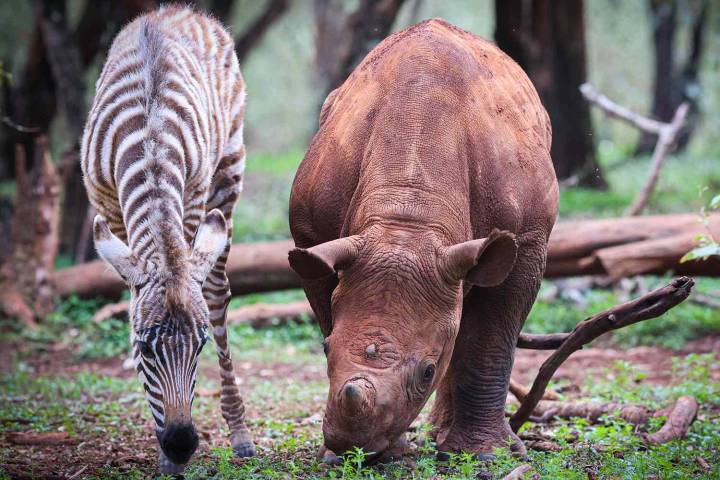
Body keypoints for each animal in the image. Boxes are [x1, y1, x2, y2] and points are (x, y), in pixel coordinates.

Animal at [81, 6, 253, 473]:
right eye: (142, 349)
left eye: (200, 346)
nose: (179, 446)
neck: (150, 142)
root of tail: (177, 11)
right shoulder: (108, 205)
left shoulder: (192, 197)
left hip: (228, 172)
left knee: (217, 293)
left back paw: (240, 434)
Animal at [288, 18, 558, 460]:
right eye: (324, 349)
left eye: (428, 370)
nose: (350, 447)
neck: (409, 220)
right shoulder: (315, 238)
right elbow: (329, 307)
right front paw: (388, 450)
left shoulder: (527, 238)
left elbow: (490, 339)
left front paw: (487, 454)